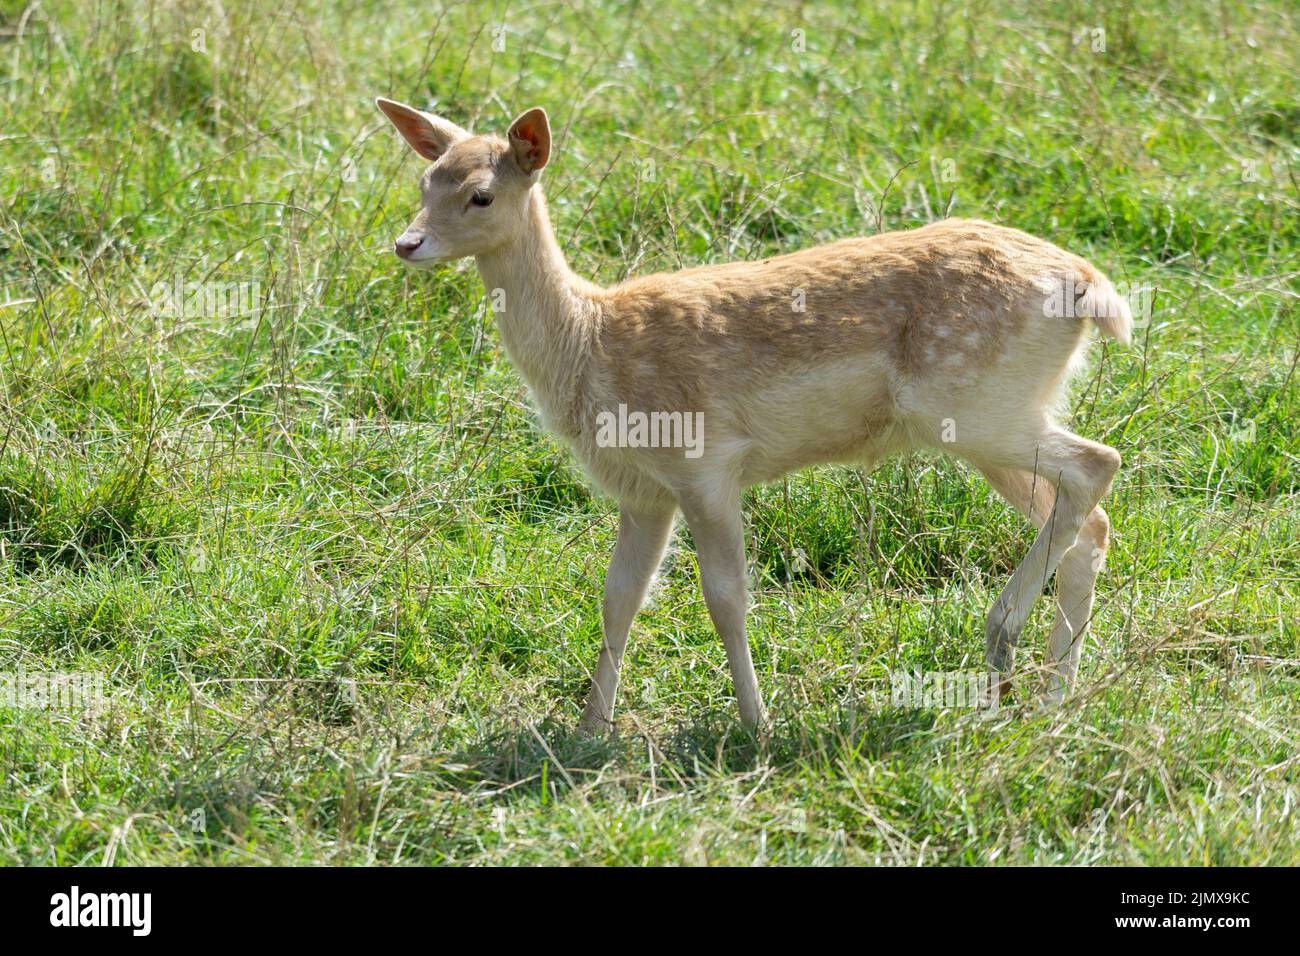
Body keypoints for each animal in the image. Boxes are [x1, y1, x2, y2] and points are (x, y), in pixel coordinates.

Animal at [375, 97, 1130, 732]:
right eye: (426, 181)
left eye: (481, 193)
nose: (407, 244)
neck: (591, 345)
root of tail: (1094, 290)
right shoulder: (644, 490)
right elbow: (619, 597)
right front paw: (589, 729)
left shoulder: (705, 463)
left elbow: (726, 598)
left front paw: (755, 724)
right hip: (995, 415)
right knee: (1087, 521)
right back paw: (1052, 695)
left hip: (974, 405)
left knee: (1099, 463)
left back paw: (1001, 644)